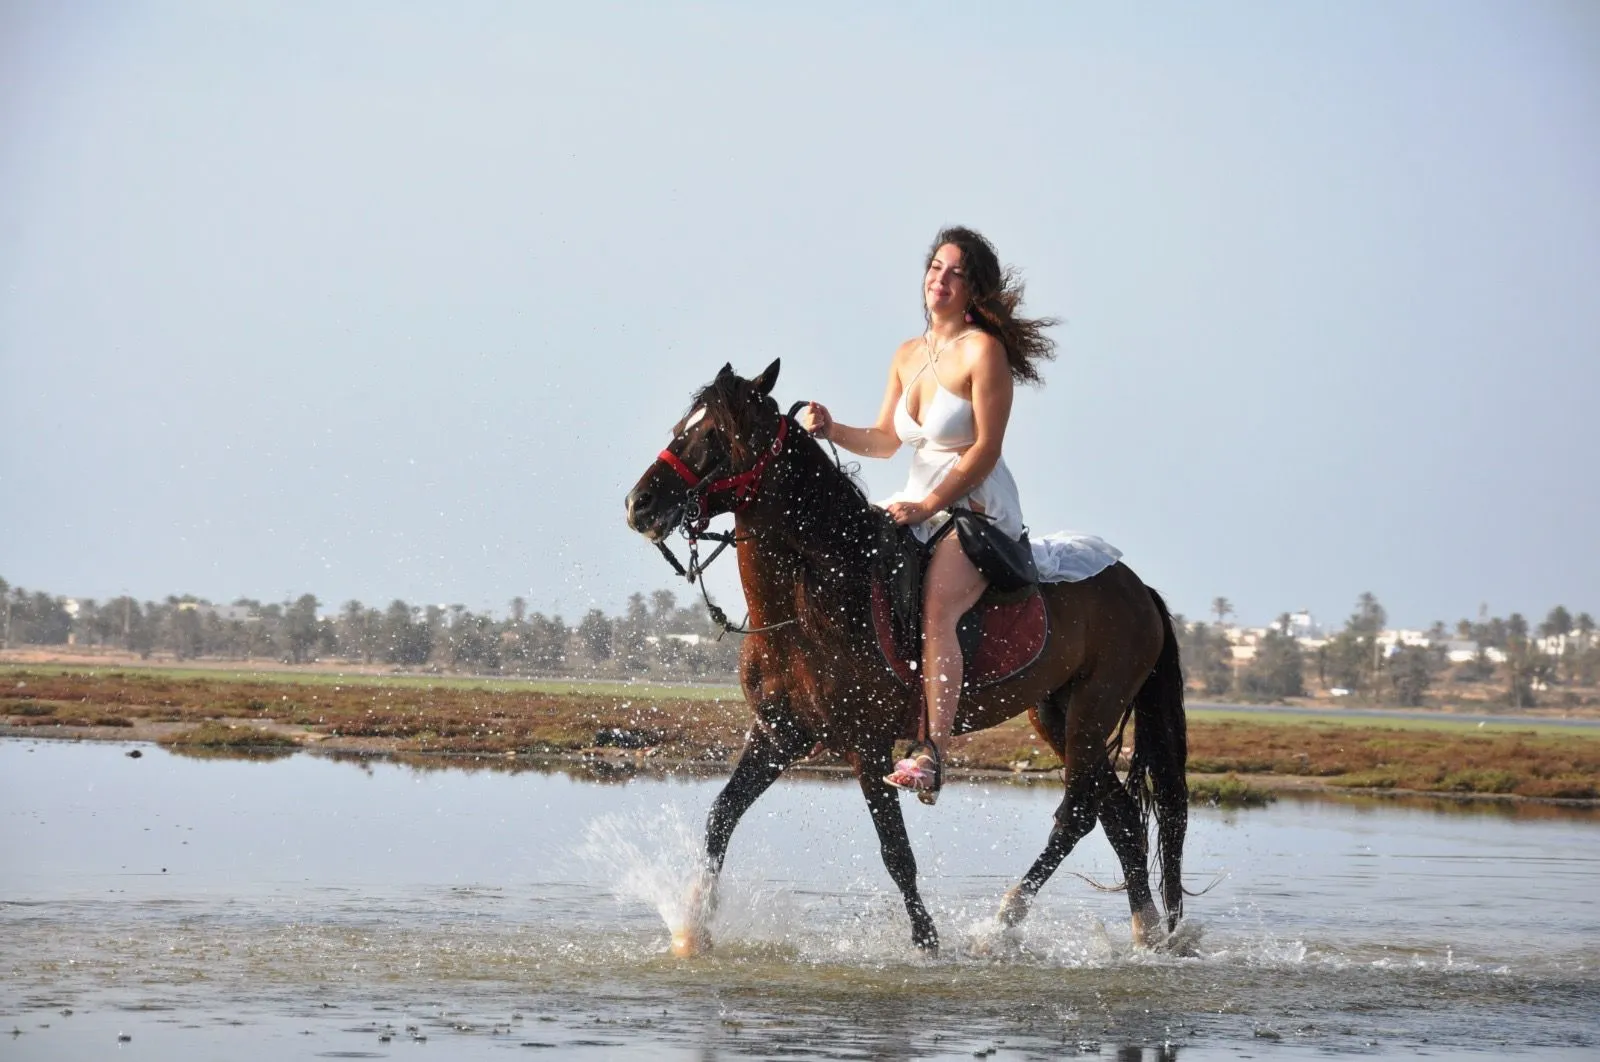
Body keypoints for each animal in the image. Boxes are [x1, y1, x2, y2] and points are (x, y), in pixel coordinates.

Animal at [624, 359, 1188, 956]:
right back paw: (1147, 932)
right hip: (1055, 711)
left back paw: (1002, 924)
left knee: (1079, 812)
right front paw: (693, 927)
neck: (813, 601)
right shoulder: (779, 734)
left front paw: (927, 943)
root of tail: (1138, 588)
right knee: (1117, 814)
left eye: (712, 434)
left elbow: (895, 852)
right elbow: (721, 816)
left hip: (1093, 708)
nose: (639, 505)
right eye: (684, 426)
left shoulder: (866, 745)